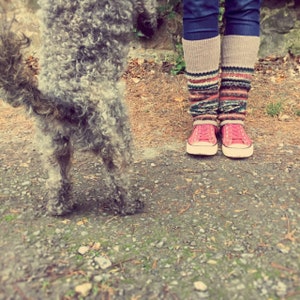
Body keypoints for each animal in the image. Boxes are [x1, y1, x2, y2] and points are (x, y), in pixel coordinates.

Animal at [0, 0, 158, 216]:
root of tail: (61, 102)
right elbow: (149, 8)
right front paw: (150, 23)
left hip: (54, 147)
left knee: (58, 180)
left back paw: (59, 207)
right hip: (115, 134)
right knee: (118, 176)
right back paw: (129, 205)